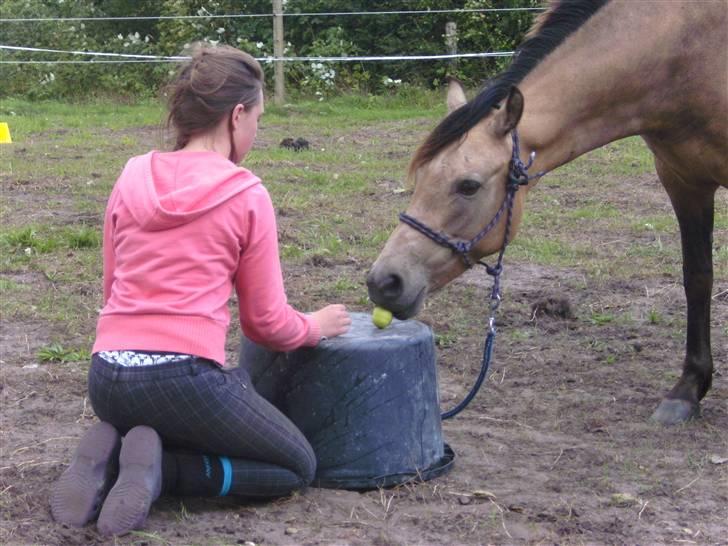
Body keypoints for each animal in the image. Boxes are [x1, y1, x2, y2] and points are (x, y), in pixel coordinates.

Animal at [366, 0, 724, 422]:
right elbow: (697, 278)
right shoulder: (683, 180)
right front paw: (688, 389)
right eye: (420, 177)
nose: (384, 282)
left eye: (468, 185)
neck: (686, 51)